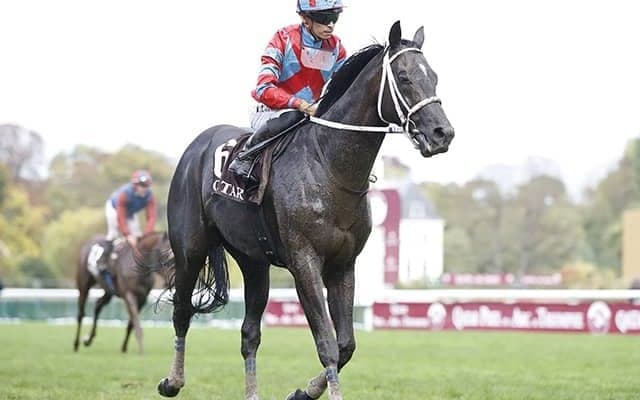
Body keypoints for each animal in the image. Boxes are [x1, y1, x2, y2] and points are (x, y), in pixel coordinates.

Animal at [157, 21, 454, 399]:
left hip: (253, 262)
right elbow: (327, 344)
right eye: (403, 77)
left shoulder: (343, 265)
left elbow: (346, 345)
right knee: (182, 311)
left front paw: (303, 391)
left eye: (434, 76)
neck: (329, 166)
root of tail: (196, 146)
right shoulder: (305, 262)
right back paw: (172, 381)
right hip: (190, 248)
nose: (442, 133)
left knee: (249, 333)